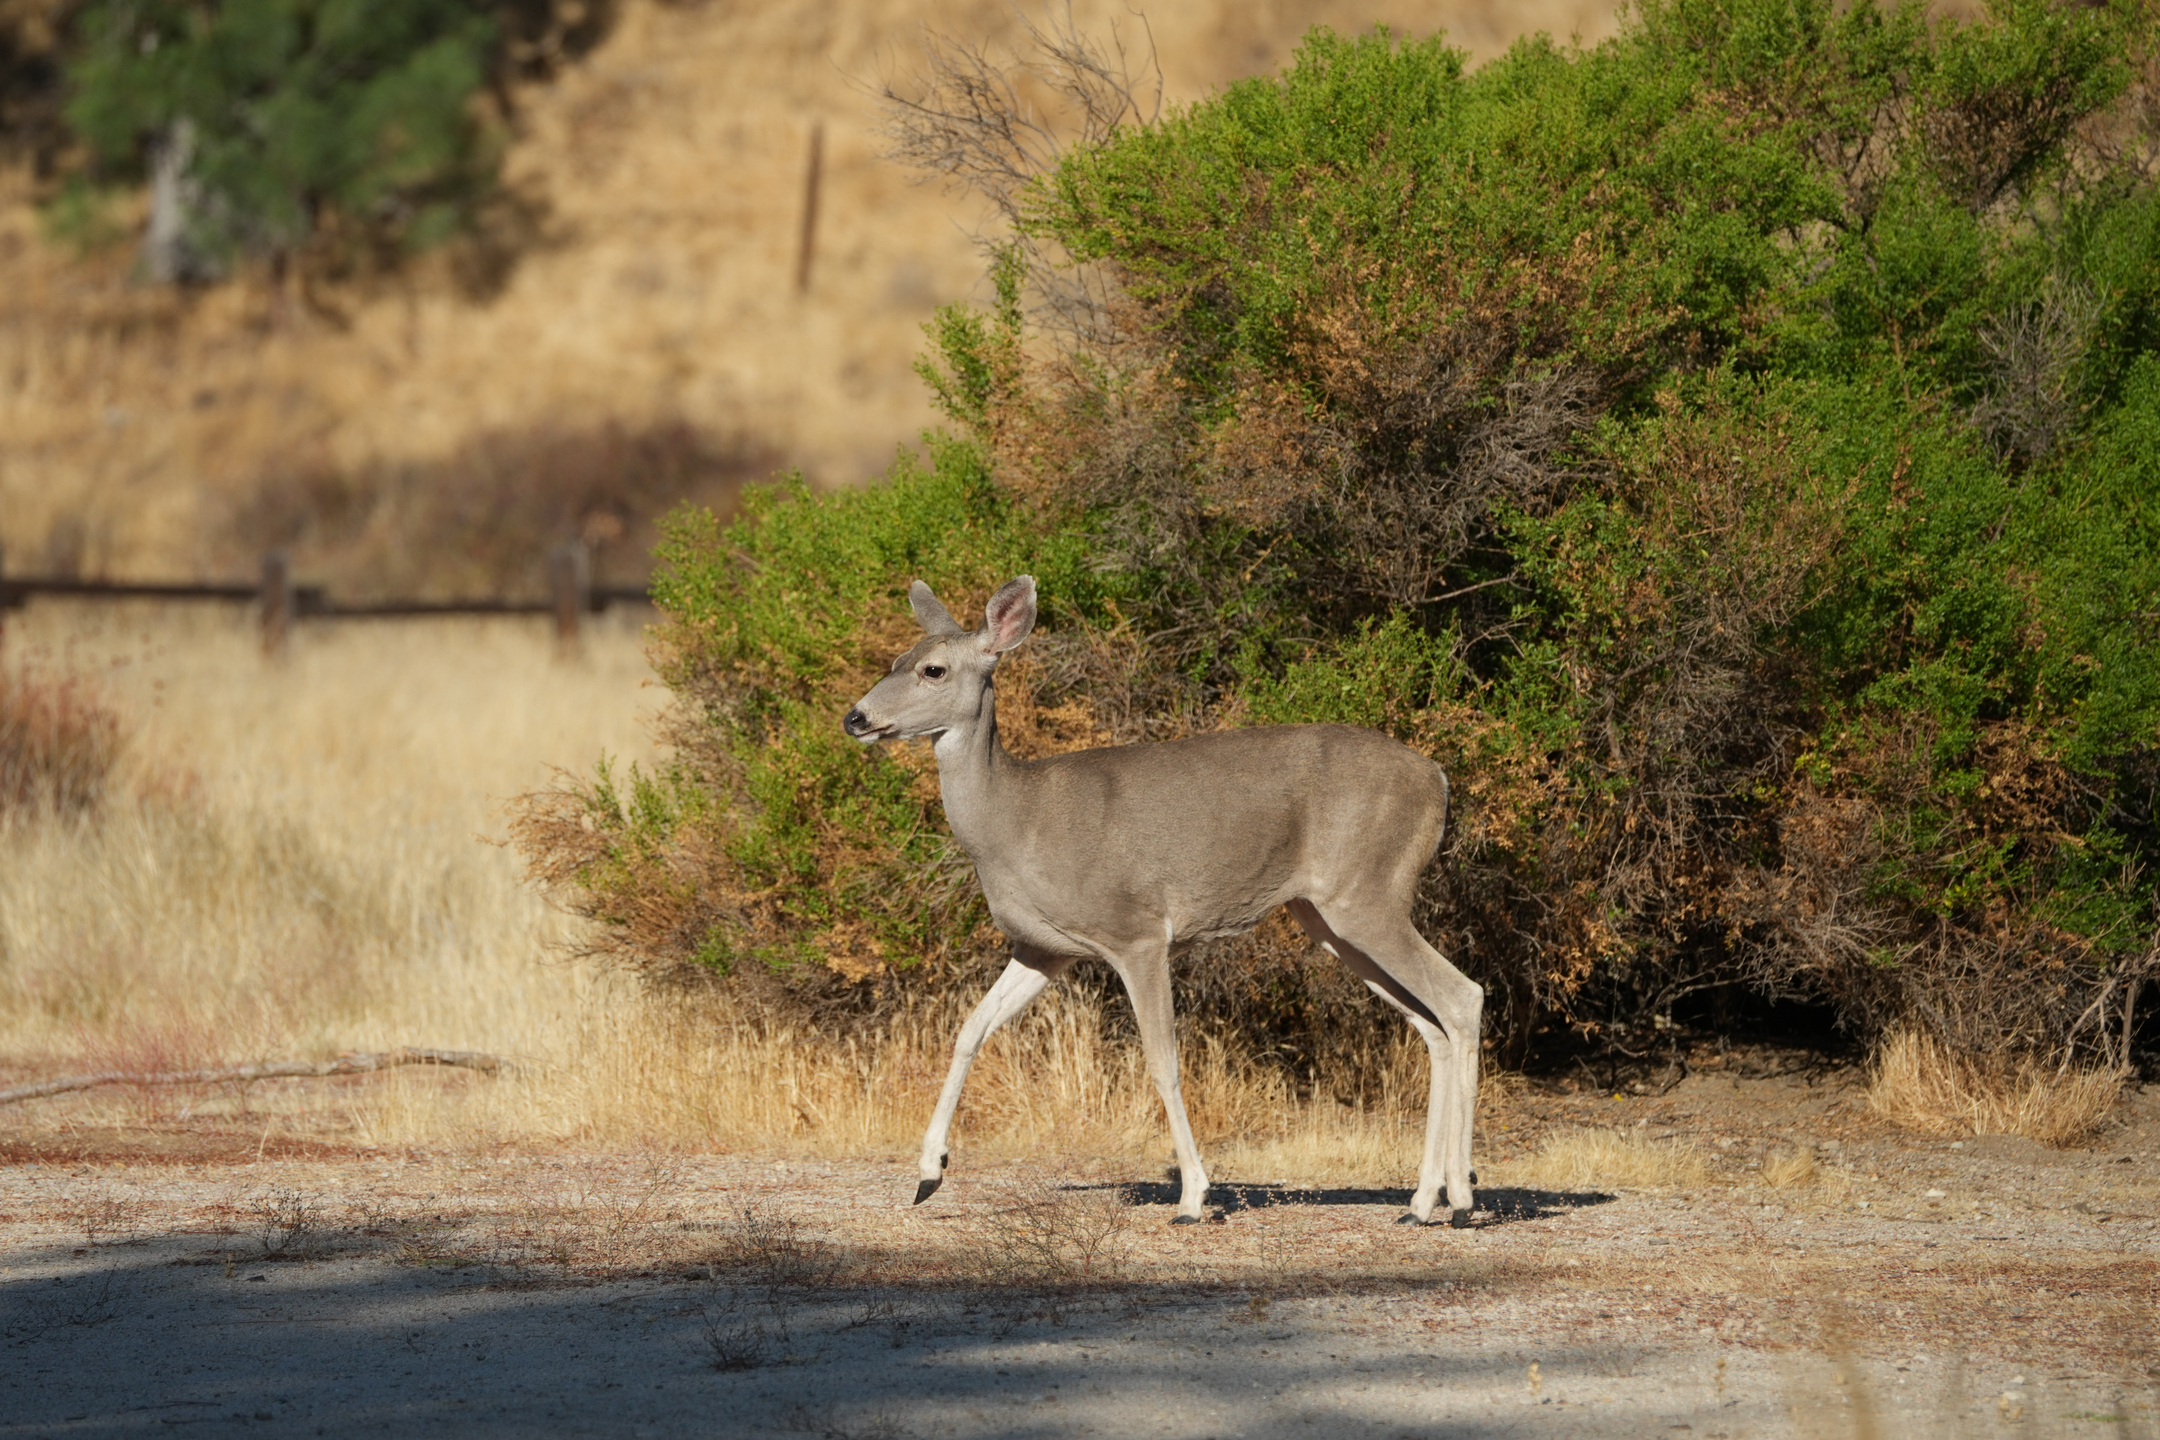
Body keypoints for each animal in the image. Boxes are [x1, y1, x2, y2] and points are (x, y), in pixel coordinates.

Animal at [843, 576, 1483, 1227]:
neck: (1015, 823)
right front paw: (929, 1173)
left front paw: (1193, 1197)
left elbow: (1163, 1062)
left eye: (933, 670)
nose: (856, 716)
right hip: (1328, 916)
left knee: (1462, 996)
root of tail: (1439, 779)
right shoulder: (1044, 948)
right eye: (895, 660)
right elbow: (970, 1029)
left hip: (1368, 892)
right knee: (1431, 1024)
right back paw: (1422, 1201)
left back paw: (1460, 1198)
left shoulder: (1137, 931)